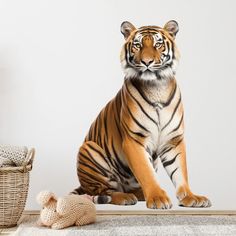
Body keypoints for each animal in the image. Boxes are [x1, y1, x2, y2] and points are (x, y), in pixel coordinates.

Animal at [72, 19, 212, 208]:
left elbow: (180, 171)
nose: (147, 62)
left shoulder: (173, 140)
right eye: (137, 45)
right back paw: (125, 197)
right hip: (89, 150)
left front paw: (190, 197)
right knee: (104, 191)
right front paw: (158, 198)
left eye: (158, 44)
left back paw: (139, 194)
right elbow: (145, 172)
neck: (157, 86)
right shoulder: (134, 139)